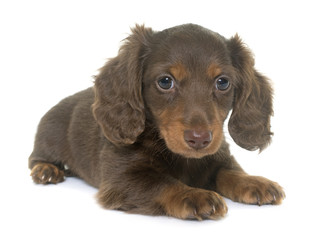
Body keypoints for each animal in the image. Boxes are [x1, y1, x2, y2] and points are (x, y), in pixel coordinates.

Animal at [29, 23, 284, 220]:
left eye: (223, 82)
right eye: (165, 81)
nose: (199, 139)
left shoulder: (218, 158)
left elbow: (228, 173)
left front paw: (254, 182)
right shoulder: (120, 179)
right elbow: (162, 183)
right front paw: (193, 194)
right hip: (47, 138)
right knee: (35, 158)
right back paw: (46, 170)